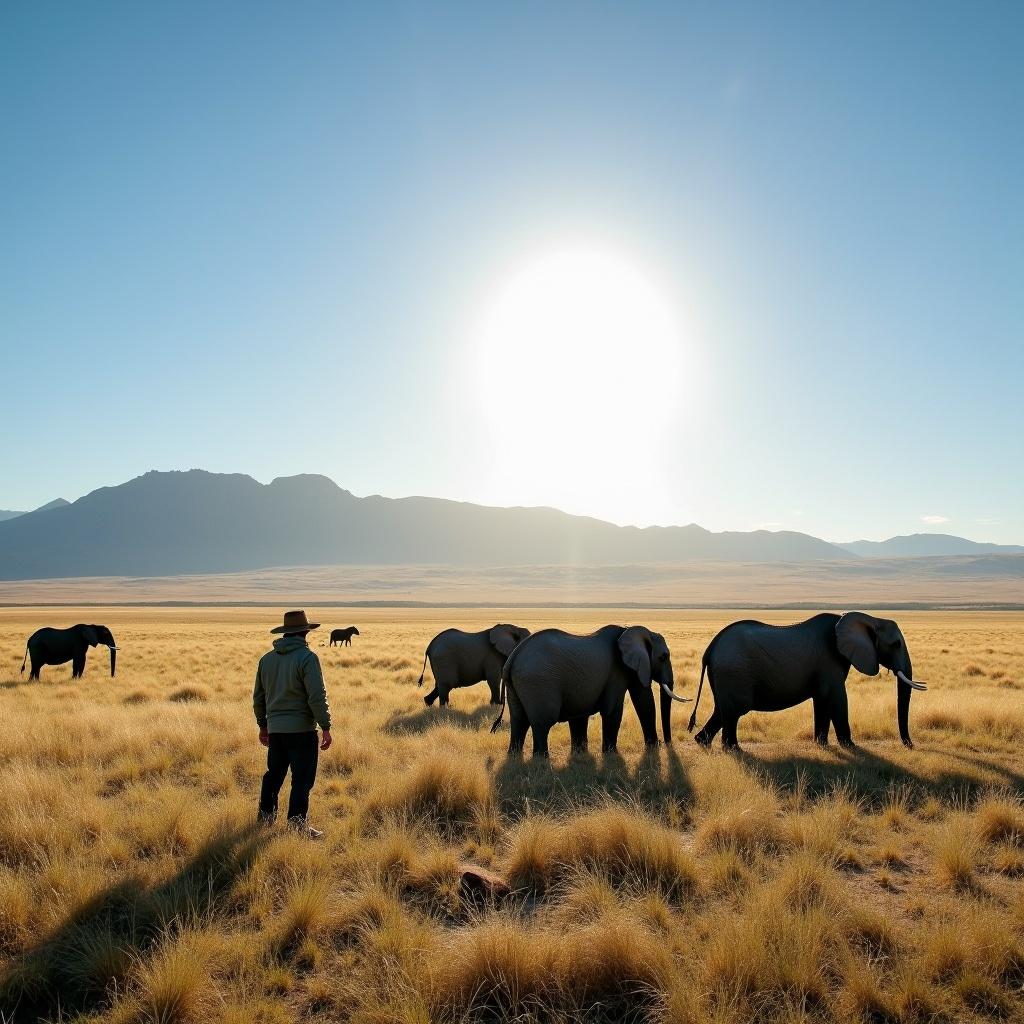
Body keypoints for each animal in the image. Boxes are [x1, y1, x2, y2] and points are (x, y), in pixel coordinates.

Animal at [487, 618, 688, 757]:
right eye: (663, 657)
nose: (667, 743)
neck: (628, 629)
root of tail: (513, 658)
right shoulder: (617, 671)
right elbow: (615, 709)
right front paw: (612, 755)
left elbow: (641, 699)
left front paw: (580, 754)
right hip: (538, 682)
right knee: (542, 721)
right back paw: (541, 759)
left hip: (517, 684)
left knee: (519, 720)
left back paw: (515, 757)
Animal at [688, 606, 929, 753]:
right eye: (896, 644)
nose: (910, 746)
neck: (869, 618)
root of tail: (710, 649)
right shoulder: (829, 661)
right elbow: (837, 698)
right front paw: (851, 747)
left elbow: (822, 700)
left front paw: (821, 745)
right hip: (734, 672)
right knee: (733, 711)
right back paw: (734, 750)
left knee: (722, 710)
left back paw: (704, 743)